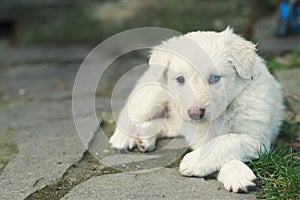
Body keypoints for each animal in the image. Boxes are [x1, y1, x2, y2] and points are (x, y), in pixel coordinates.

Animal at [109, 28, 284, 192]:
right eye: (180, 79)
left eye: (214, 78)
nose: (195, 114)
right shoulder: (201, 135)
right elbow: (219, 144)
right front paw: (235, 173)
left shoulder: (257, 137)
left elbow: (229, 140)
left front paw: (231, 173)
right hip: (152, 96)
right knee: (132, 113)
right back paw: (123, 138)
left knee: (167, 124)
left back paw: (145, 136)